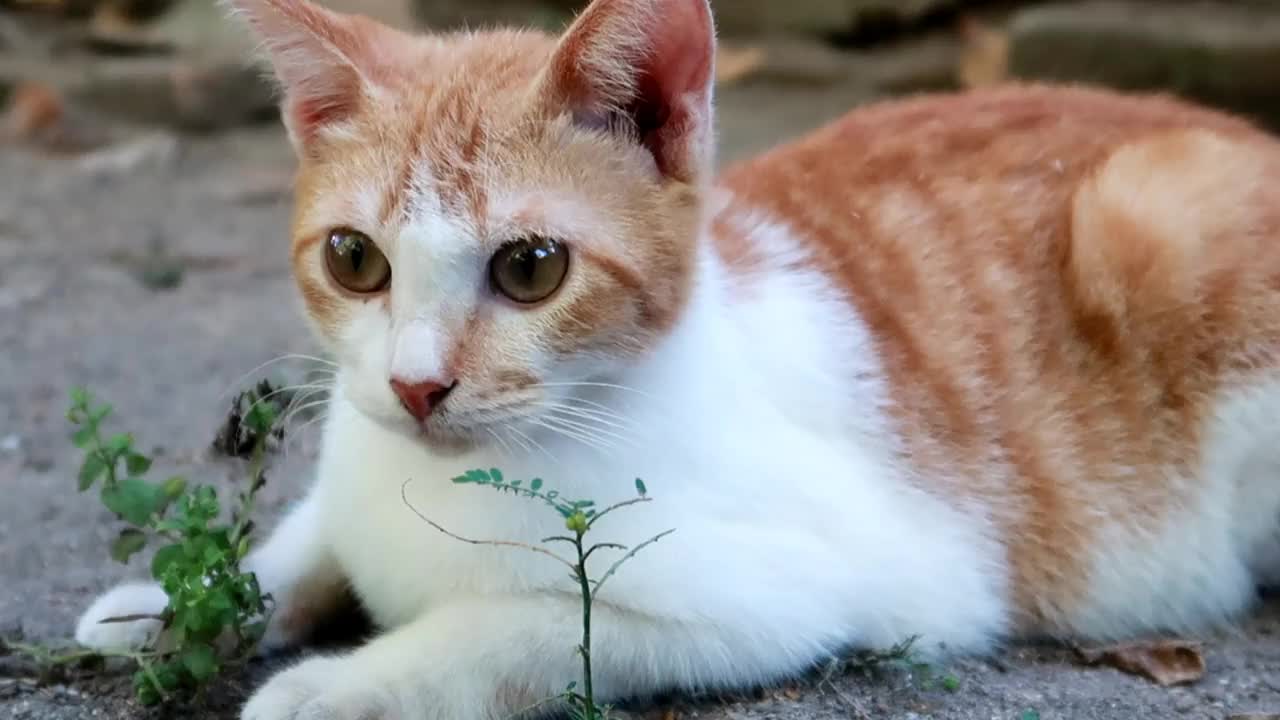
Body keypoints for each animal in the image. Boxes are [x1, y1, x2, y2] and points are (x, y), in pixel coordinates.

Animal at [72, 0, 1280, 712]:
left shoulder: (796, 589)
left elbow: (514, 630)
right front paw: (164, 604)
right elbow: (299, 543)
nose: (416, 385)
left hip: (1155, 218)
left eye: (530, 269)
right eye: (354, 258)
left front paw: (333, 688)